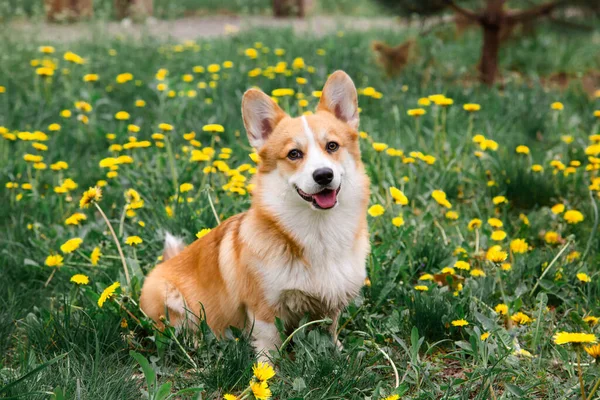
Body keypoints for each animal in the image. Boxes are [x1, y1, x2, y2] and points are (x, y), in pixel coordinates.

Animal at [142, 69, 370, 360]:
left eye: (332, 146)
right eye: (294, 153)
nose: (323, 175)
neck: (318, 231)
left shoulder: (332, 301)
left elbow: (329, 330)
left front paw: (337, 352)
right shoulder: (264, 308)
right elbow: (268, 344)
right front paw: (268, 368)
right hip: (172, 302)